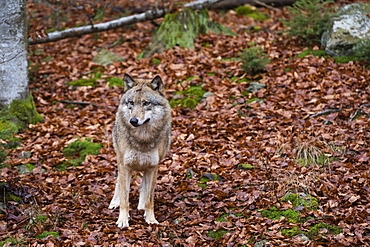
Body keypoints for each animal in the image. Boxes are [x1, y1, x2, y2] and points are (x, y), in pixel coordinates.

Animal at [108, 73, 172, 228]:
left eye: (146, 103)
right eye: (131, 102)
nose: (133, 121)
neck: (142, 138)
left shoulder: (153, 167)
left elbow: (150, 198)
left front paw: (151, 219)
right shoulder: (125, 166)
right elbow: (124, 199)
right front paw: (122, 220)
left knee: (143, 186)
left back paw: (141, 206)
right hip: (120, 160)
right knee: (118, 182)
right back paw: (114, 203)